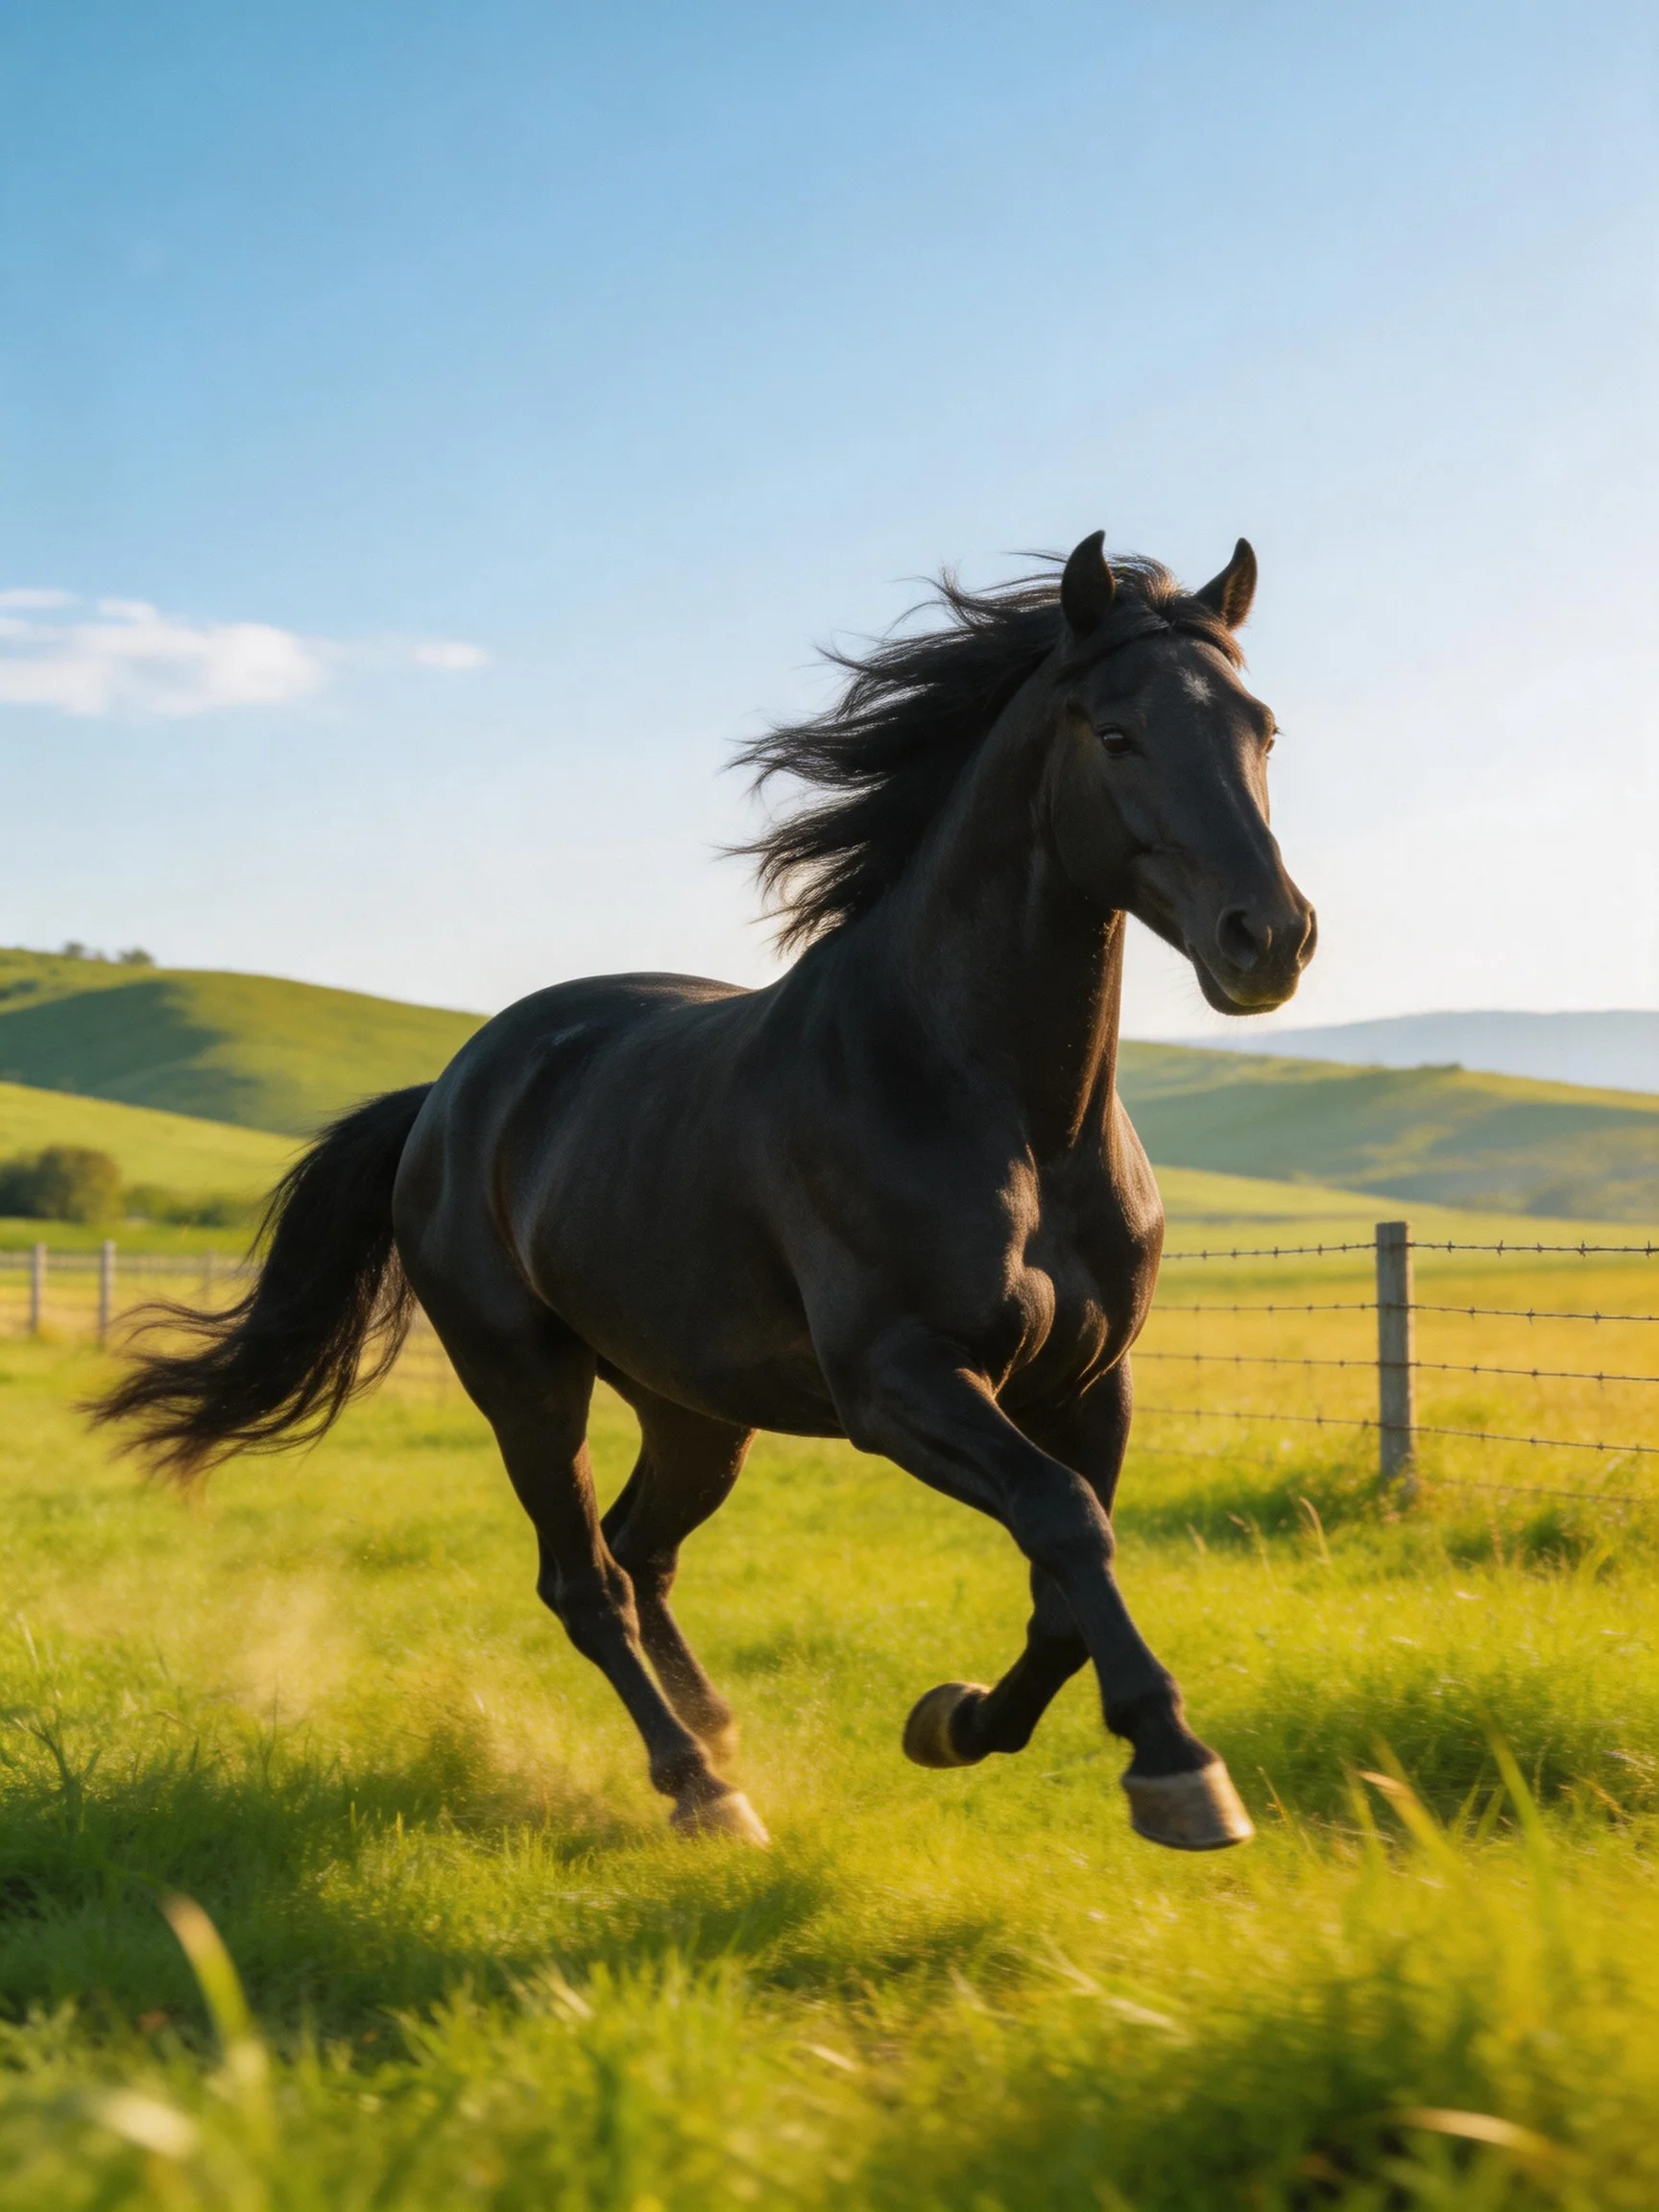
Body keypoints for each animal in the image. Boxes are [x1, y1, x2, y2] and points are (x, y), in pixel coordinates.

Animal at [94, 530, 1316, 1853]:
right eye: (1117, 733)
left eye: (1263, 728)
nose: (1269, 939)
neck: (1004, 1112)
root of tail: (446, 1095)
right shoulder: (900, 1382)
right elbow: (1063, 1523)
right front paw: (1176, 1765)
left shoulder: (1091, 1379)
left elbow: (1067, 1567)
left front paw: (955, 1721)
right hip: (527, 1384)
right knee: (583, 1579)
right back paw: (701, 1785)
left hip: (695, 1406)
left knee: (641, 1553)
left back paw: (719, 1734)